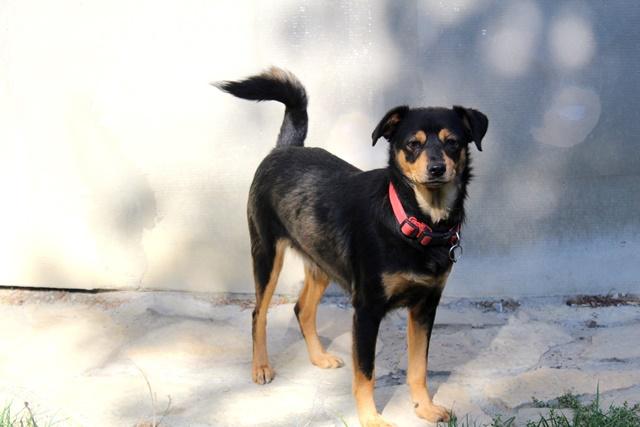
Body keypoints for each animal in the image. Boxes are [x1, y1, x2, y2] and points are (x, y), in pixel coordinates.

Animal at [215, 67, 488, 426]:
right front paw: (371, 418)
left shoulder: (425, 306)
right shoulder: (367, 310)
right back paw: (261, 367)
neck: (416, 220)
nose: (436, 169)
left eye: (452, 142)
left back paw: (319, 357)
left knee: (302, 309)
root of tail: (285, 148)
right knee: (259, 313)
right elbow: (366, 373)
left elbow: (419, 367)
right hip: (266, 252)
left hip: (320, 260)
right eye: (412, 145)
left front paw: (424, 408)